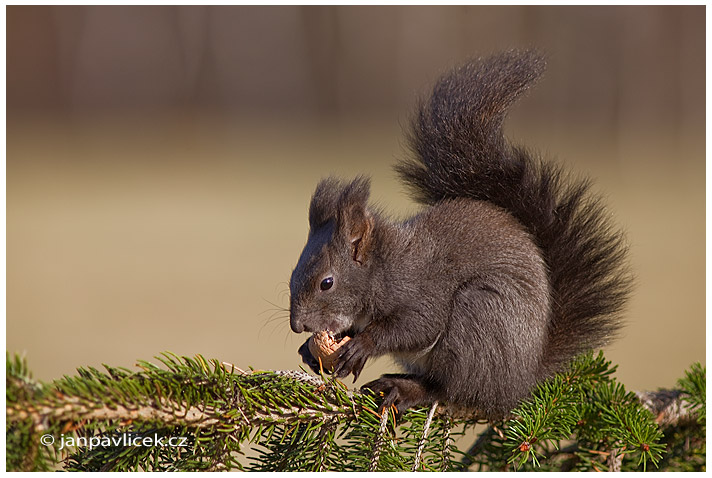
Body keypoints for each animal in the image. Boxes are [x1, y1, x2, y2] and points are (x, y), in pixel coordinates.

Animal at [286, 50, 632, 420]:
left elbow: (417, 325)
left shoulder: (422, 289)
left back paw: (407, 388)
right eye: (292, 274)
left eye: (326, 283)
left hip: (477, 319)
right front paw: (309, 349)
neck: (384, 267)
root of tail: (522, 382)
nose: (297, 325)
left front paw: (363, 344)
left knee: (454, 391)